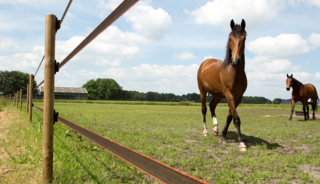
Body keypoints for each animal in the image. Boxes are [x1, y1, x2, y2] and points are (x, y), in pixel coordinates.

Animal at [198, 19, 248, 152]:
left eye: (244, 38)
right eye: (230, 38)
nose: (235, 61)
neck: (233, 73)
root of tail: (205, 62)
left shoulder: (238, 97)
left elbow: (230, 117)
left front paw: (224, 136)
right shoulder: (229, 95)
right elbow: (236, 118)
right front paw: (241, 143)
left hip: (218, 95)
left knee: (211, 106)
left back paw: (215, 129)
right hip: (202, 91)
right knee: (204, 109)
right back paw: (205, 132)